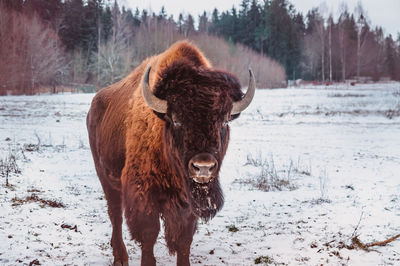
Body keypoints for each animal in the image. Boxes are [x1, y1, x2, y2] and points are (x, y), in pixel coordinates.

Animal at [86, 40, 256, 264]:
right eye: (176, 120)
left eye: (224, 121)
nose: (203, 167)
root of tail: (94, 106)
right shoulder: (144, 195)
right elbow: (149, 235)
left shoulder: (187, 205)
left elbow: (184, 240)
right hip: (105, 177)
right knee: (115, 215)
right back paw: (120, 257)